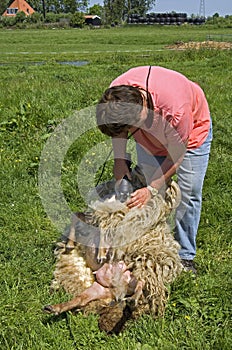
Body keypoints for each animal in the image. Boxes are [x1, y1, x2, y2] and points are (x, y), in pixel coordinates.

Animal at [43, 167, 181, 334]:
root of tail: (117, 293)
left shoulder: (112, 217)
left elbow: (101, 227)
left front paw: (100, 252)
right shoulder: (98, 218)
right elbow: (77, 216)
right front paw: (71, 243)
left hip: (143, 265)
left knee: (141, 282)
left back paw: (133, 299)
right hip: (98, 289)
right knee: (81, 299)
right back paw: (54, 308)